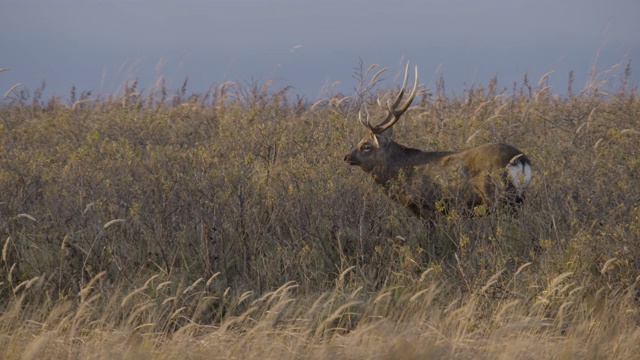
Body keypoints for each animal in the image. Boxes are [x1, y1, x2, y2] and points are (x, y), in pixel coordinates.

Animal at [342, 63, 532, 224]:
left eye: (366, 146)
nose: (346, 157)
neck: (402, 170)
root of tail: (520, 159)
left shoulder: (427, 206)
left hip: (499, 196)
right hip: (518, 199)